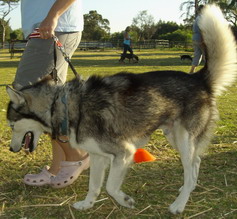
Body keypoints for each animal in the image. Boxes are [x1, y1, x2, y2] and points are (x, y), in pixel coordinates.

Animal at [6, 4, 237, 214]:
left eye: (11, 125)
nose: (10, 149)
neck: (63, 104)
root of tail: (199, 78)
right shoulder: (97, 156)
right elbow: (94, 186)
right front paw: (87, 204)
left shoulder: (125, 152)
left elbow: (109, 186)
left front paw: (125, 200)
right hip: (175, 137)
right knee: (195, 162)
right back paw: (186, 189)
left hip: (183, 139)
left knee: (191, 167)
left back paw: (179, 204)